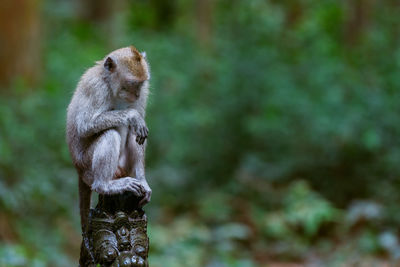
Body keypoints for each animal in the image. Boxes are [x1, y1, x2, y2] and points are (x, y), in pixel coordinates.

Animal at [65, 45, 152, 264]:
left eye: (141, 84)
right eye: (131, 83)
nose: (136, 94)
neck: (110, 85)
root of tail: (78, 170)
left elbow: (139, 126)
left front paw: (144, 181)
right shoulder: (96, 88)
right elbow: (85, 124)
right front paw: (132, 115)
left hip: (122, 164)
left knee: (132, 132)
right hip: (87, 165)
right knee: (111, 132)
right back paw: (105, 185)